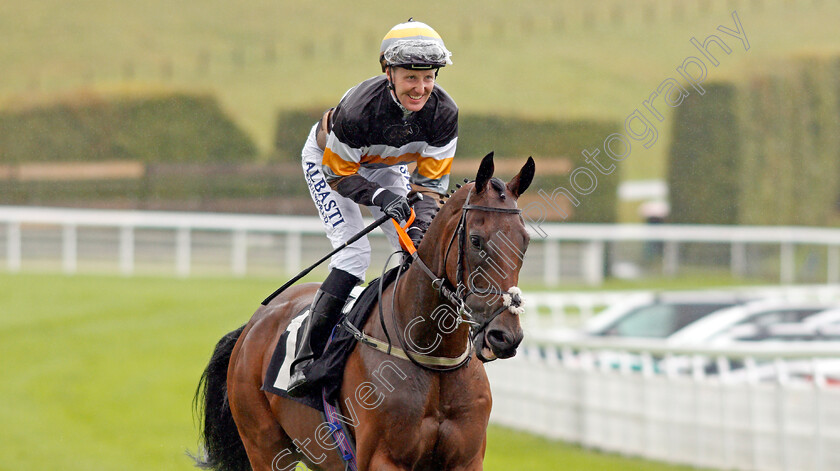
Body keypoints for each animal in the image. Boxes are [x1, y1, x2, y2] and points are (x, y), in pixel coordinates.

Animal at [195, 153, 532, 470]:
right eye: (476, 240)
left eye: (525, 241)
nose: (505, 336)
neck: (432, 358)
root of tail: (252, 326)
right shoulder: (382, 459)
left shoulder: (467, 460)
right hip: (264, 447)